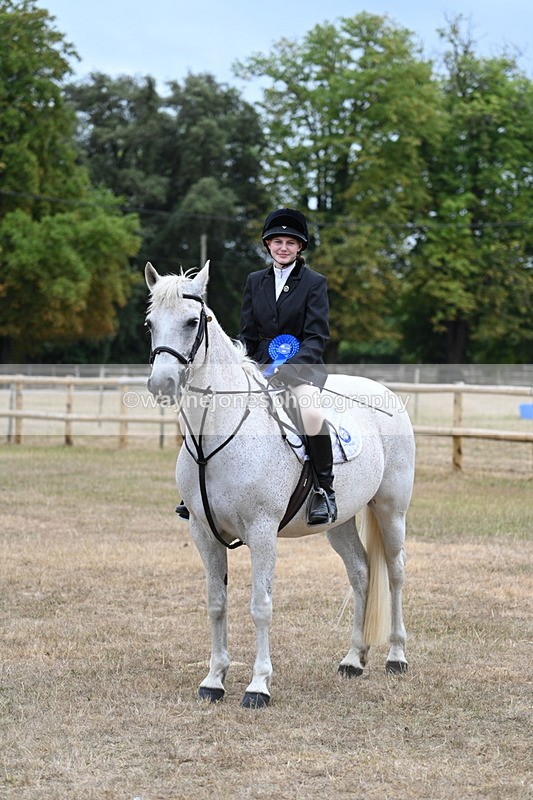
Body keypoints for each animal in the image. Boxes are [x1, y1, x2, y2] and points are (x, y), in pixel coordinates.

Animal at [145, 261, 415, 708]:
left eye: (191, 321)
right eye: (150, 323)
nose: (161, 384)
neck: (215, 438)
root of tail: (382, 392)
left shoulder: (262, 531)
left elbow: (260, 606)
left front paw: (258, 686)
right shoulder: (203, 532)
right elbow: (216, 603)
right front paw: (213, 680)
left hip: (391, 510)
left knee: (394, 573)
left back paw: (396, 656)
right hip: (341, 522)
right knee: (361, 573)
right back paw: (353, 659)